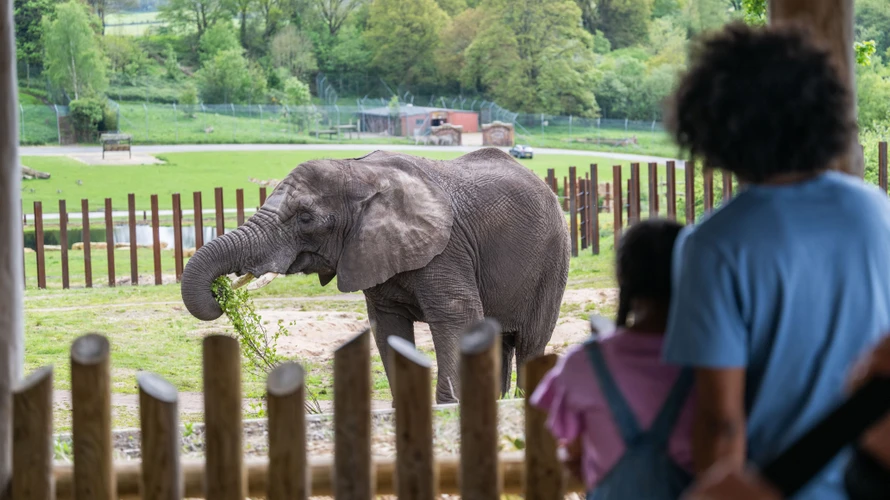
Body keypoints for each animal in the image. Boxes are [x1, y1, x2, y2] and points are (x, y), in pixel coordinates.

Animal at [180, 148, 570, 404]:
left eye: (305, 218)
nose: (219, 293)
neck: (358, 173)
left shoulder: (447, 249)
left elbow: (457, 318)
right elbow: (388, 328)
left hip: (552, 261)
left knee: (531, 342)